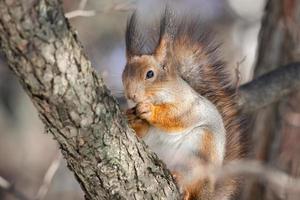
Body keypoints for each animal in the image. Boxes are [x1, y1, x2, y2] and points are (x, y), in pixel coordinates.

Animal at [121, 8, 244, 199]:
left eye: (150, 74)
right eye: (124, 74)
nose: (131, 95)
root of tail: (208, 192)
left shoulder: (188, 105)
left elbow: (176, 116)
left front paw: (150, 111)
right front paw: (131, 118)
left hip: (197, 155)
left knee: (191, 184)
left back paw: (181, 182)